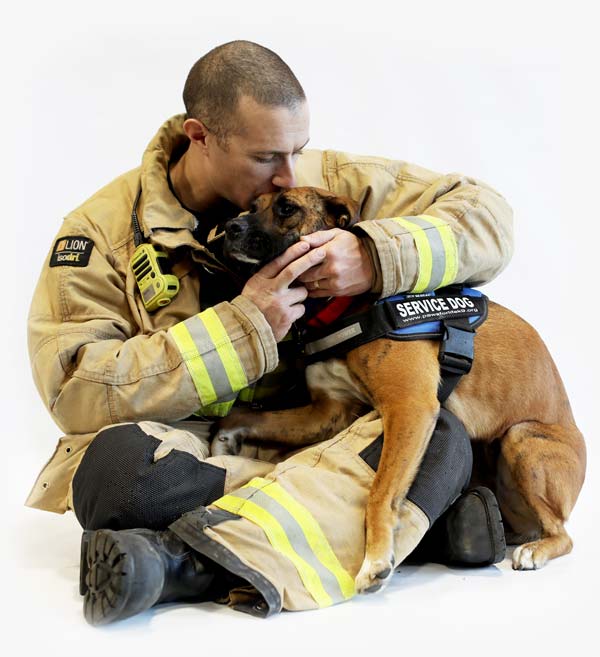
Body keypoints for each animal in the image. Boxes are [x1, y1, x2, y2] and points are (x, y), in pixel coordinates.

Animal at [211, 186, 584, 596]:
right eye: (251, 206)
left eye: (286, 208)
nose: (229, 227)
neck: (345, 307)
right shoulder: (327, 413)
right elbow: (243, 415)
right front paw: (223, 441)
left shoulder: (410, 407)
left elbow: (380, 490)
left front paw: (374, 561)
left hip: (522, 437)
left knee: (563, 535)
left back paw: (534, 550)